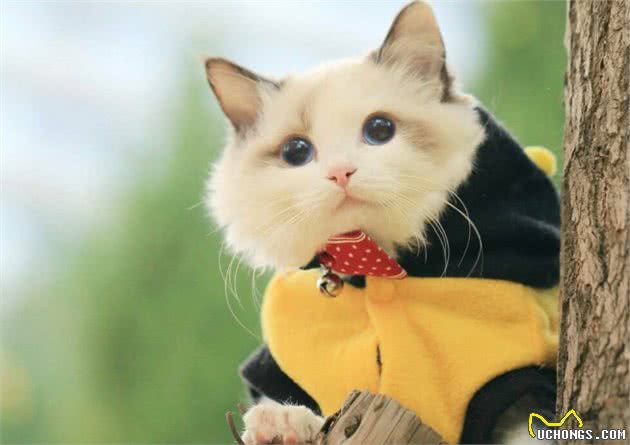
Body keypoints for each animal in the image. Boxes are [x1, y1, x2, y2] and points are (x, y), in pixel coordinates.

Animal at [204, 1, 560, 444]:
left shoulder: (519, 380)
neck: (376, 266)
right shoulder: (277, 372)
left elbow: (527, 427)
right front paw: (281, 425)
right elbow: (297, 407)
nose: (340, 172)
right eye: (296, 151)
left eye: (379, 129)